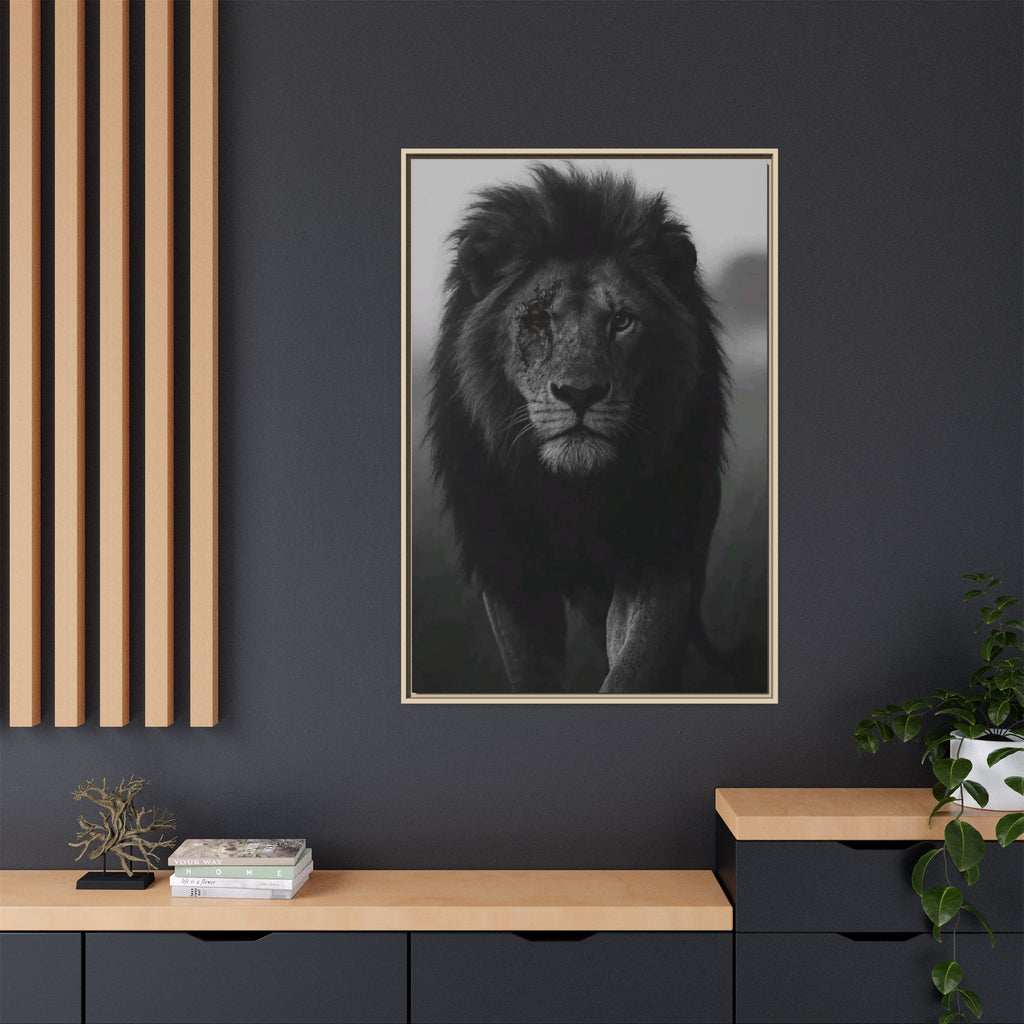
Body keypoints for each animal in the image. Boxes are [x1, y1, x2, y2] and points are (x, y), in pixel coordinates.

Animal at [426, 163, 729, 693]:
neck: (574, 493)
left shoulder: (659, 555)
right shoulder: (508, 569)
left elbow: (634, 665)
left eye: (622, 321)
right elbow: (530, 675)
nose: (580, 393)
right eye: (536, 319)